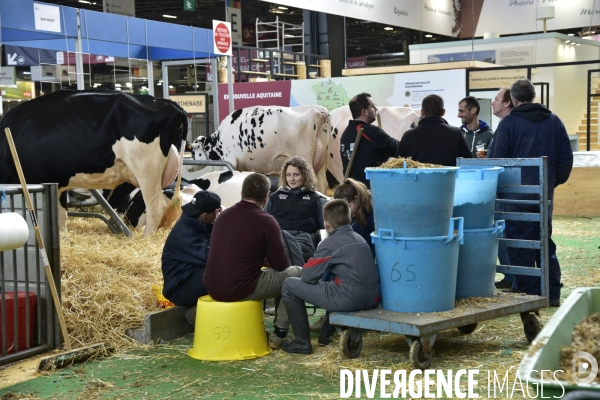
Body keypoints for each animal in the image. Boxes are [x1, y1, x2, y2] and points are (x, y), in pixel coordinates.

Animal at [0, 90, 185, 234]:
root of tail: (168, 103)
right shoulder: (58, 183)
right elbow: (60, 217)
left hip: (146, 169)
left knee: (156, 209)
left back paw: (146, 238)